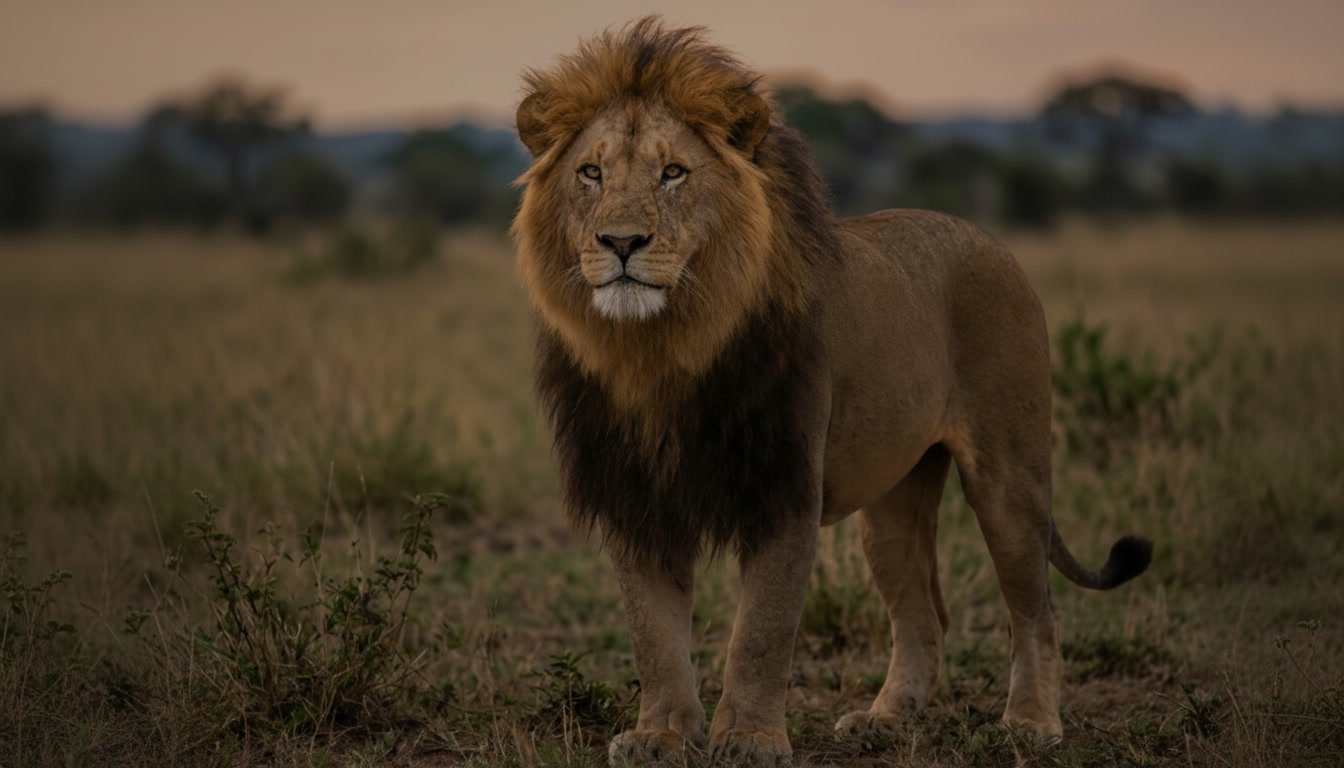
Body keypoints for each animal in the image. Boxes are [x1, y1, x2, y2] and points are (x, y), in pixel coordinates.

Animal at [512, 17, 1152, 766]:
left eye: (674, 173)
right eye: (591, 173)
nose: (619, 242)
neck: (660, 351)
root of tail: (987, 237)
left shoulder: (785, 487)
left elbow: (761, 631)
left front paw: (749, 738)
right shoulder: (636, 497)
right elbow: (655, 635)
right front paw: (661, 734)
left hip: (1008, 476)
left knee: (1035, 608)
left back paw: (1031, 723)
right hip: (895, 502)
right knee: (924, 613)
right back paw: (887, 720)